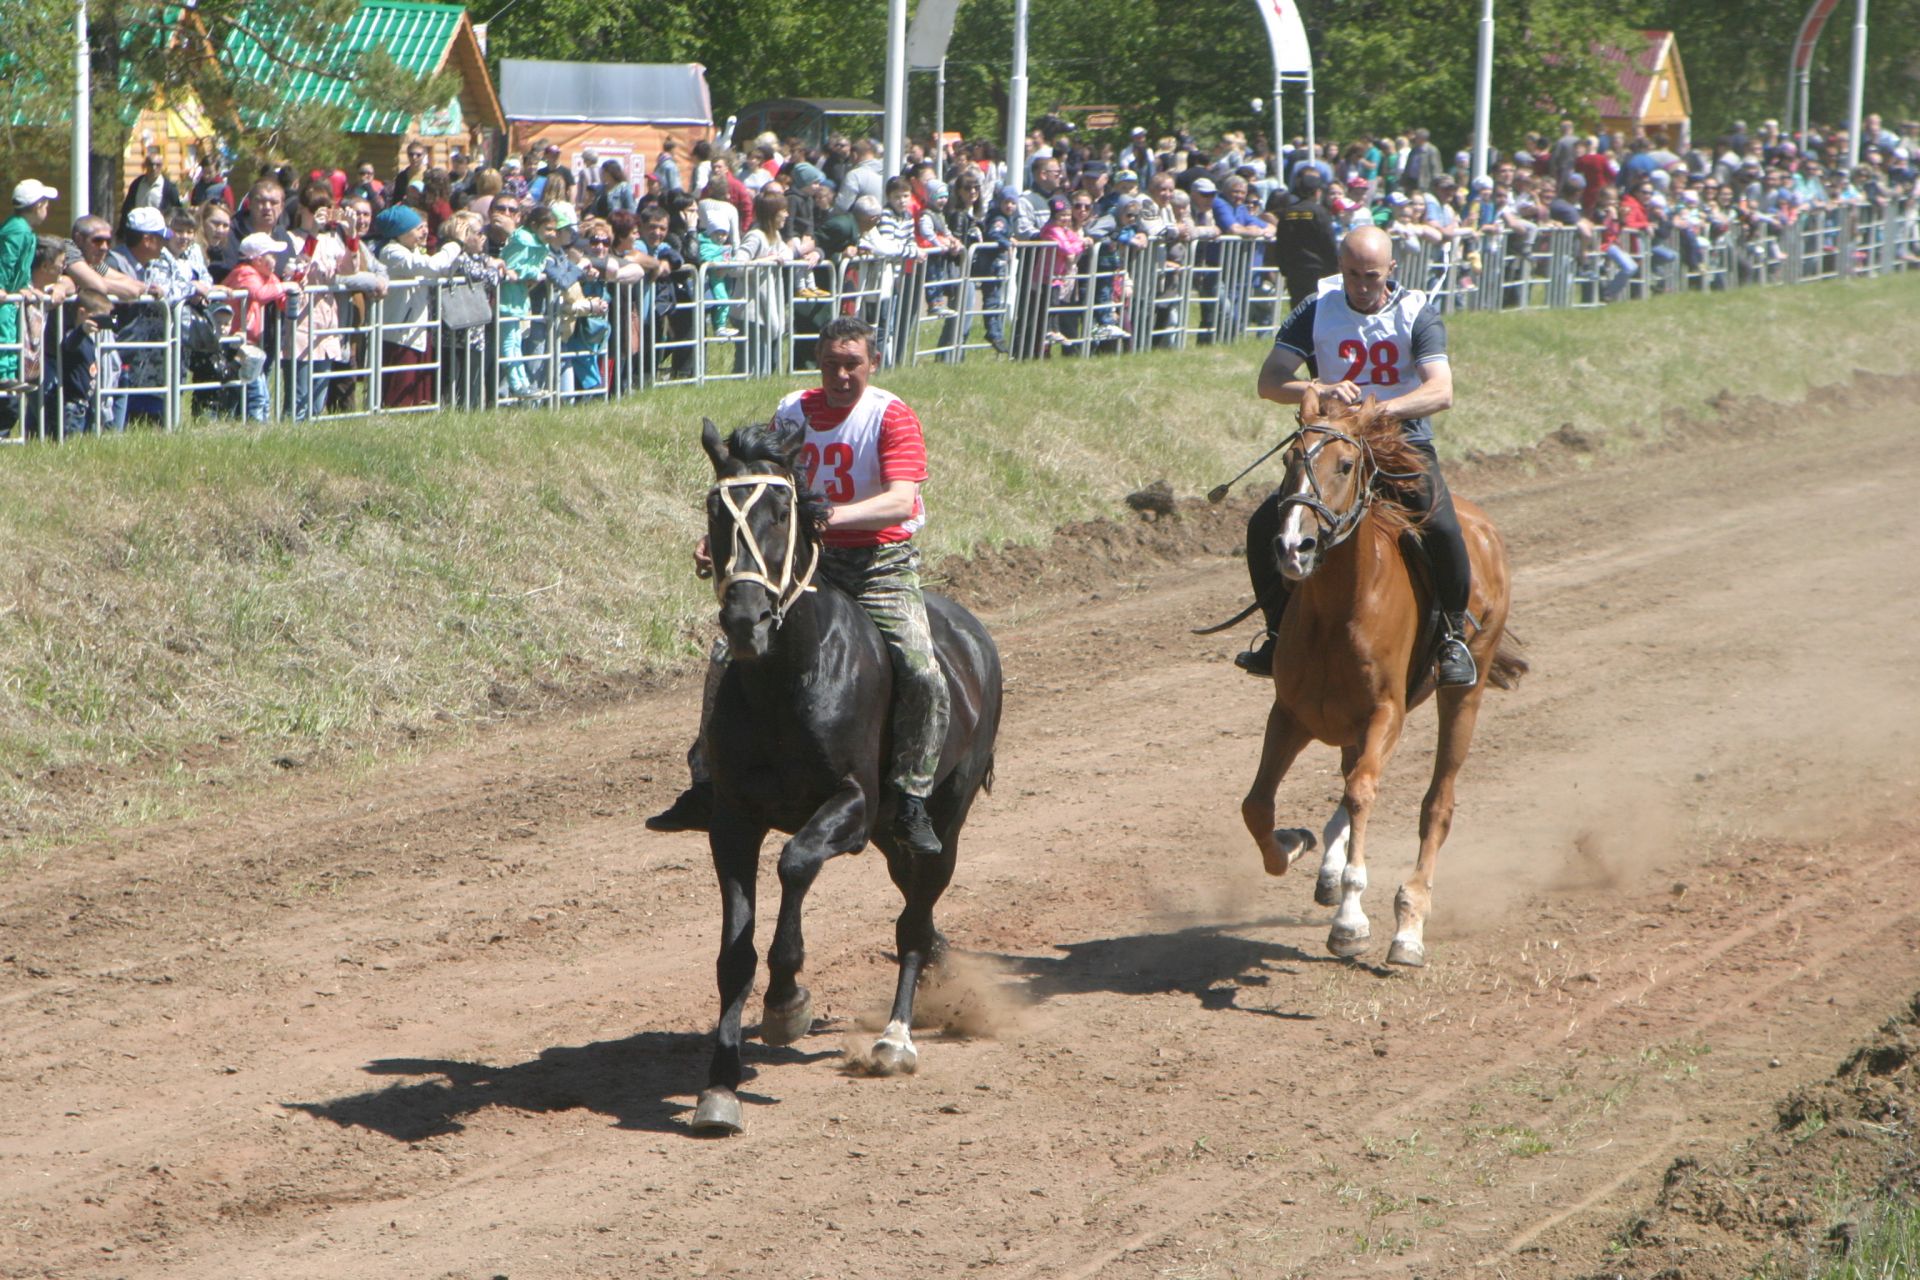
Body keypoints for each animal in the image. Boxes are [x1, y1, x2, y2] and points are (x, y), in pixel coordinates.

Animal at [691, 418, 1006, 1128]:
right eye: (715, 512)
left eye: (781, 512)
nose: (744, 620)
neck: (787, 677)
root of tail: (974, 636)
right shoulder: (732, 820)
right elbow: (734, 952)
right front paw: (719, 1086)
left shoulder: (853, 806)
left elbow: (796, 865)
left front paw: (787, 1001)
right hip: (891, 838)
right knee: (915, 908)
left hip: (940, 820)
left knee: (915, 917)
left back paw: (896, 1038)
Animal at [1244, 385, 1528, 967]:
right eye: (1289, 461)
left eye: (1346, 464)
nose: (1293, 547)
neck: (1337, 611)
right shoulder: (1291, 714)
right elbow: (1257, 805)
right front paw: (1294, 844)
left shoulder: (1386, 714)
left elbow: (1362, 793)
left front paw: (1351, 919)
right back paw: (1330, 866)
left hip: (1463, 694)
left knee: (1436, 804)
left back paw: (1409, 924)